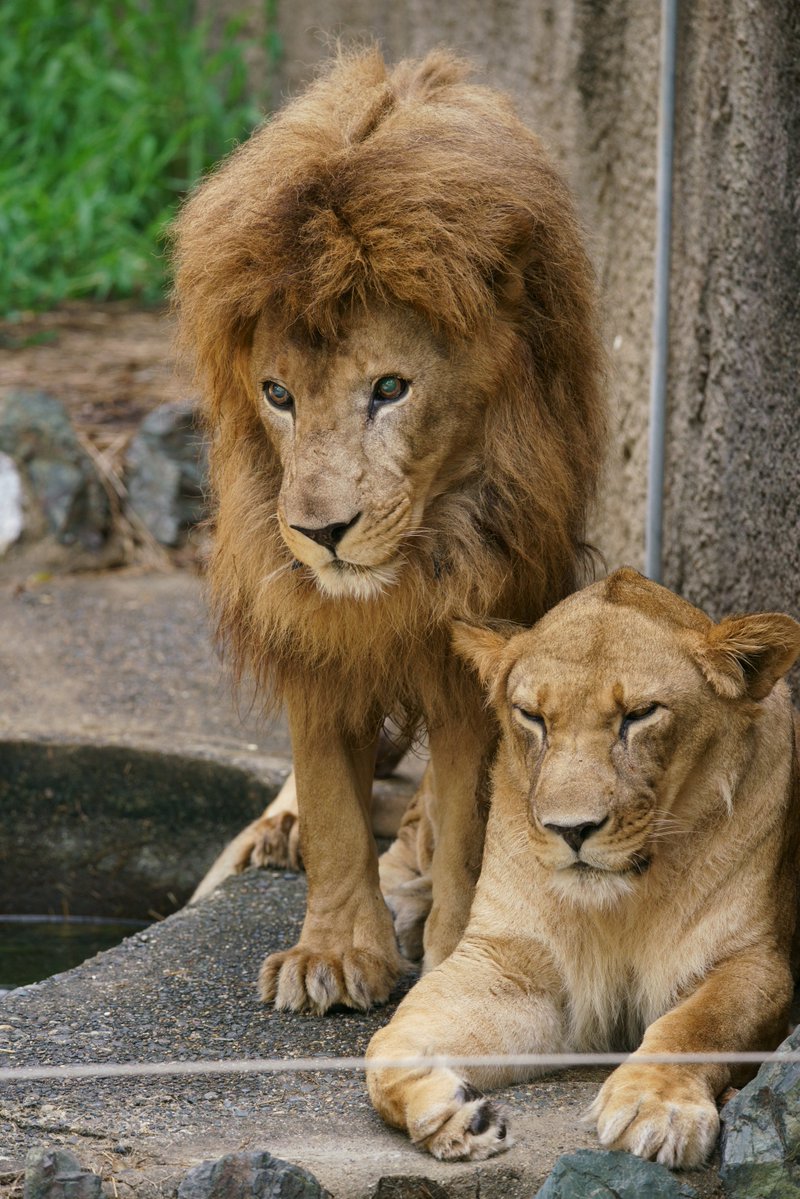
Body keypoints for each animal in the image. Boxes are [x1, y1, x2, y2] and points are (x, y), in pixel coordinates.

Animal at [172, 51, 604, 1016]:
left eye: (391, 388)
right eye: (278, 394)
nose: (322, 531)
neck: (414, 568)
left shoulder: (478, 642)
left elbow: (467, 822)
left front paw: (451, 950)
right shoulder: (312, 630)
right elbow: (335, 804)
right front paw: (332, 953)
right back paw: (283, 834)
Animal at [367, 570, 800, 1170]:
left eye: (640, 714)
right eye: (532, 716)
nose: (570, 830)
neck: (626, 899)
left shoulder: (754, 962)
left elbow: (698, 1024)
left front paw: (655, 1105)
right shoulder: (509, 964)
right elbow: (386, 1044)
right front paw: (454, 1111)